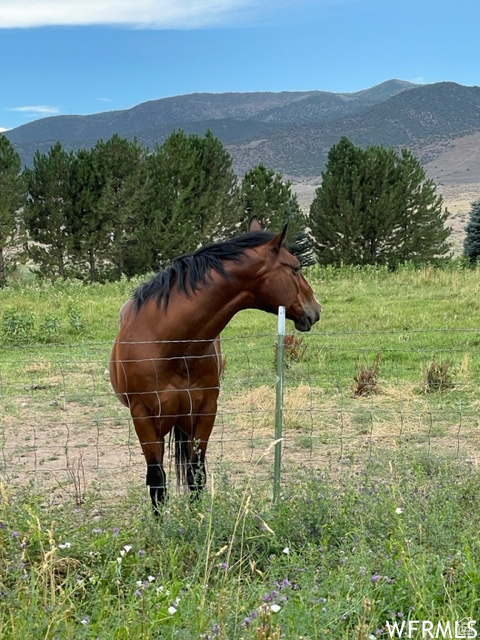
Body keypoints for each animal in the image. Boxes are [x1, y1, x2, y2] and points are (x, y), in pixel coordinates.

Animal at [110, 218, 320, 512]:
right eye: (296, 268)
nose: (316, 309)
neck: (169, 343)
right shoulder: (143, 416)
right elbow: (157, 481)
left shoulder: (204, 411)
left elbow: (196, 475)